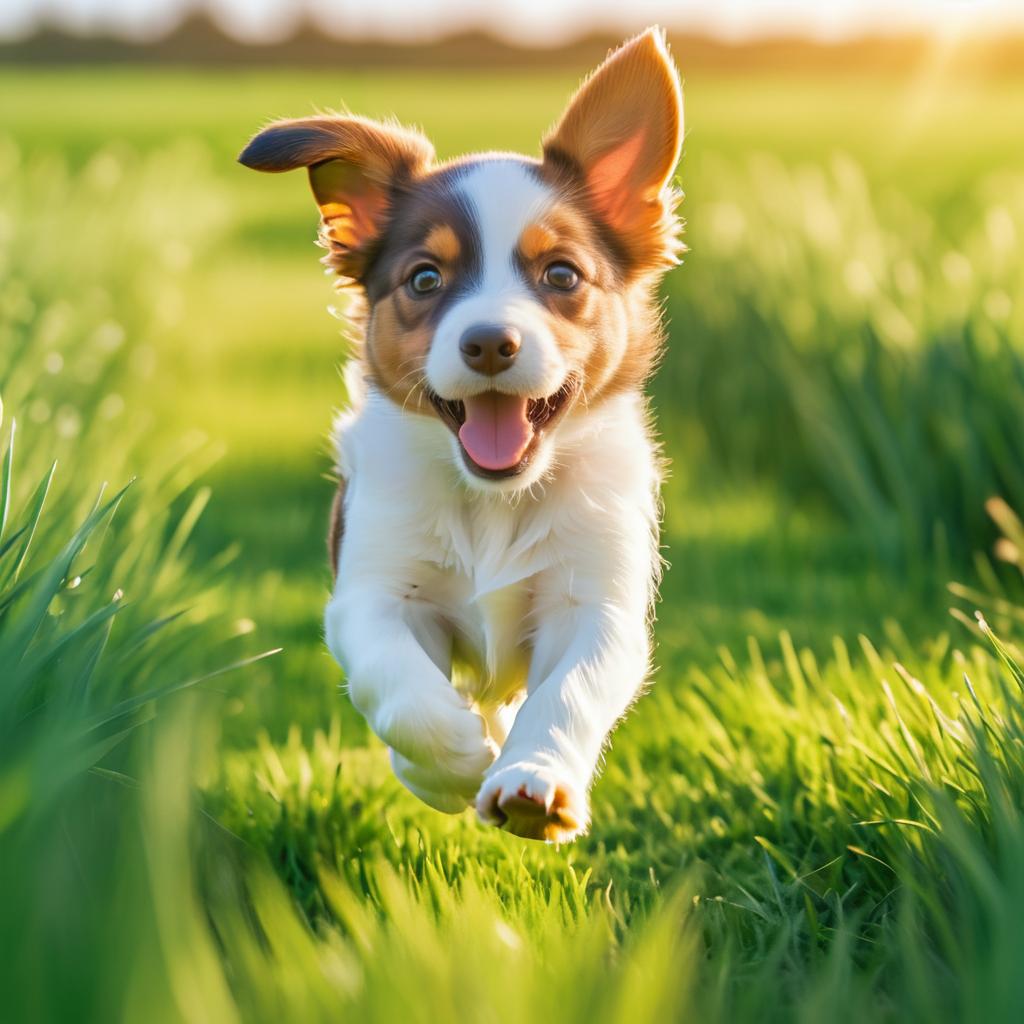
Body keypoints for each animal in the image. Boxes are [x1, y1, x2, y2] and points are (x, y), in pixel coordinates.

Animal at [239, 29, 684, 839]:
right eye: (424, 279)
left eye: (562, 275)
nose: (488, 344)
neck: (494, 502)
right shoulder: (373, 592)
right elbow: (399, 689)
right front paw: (453, 761)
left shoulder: (595, 602)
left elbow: (569, 692)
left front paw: (533, 779)